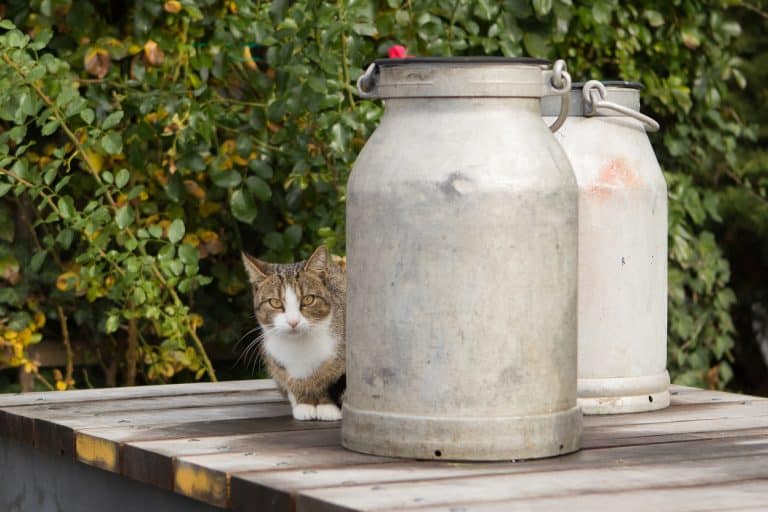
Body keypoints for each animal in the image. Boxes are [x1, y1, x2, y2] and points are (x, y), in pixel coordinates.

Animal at [242, 247, 346, 420]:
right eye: (275, 302)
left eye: (308, 299)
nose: (293, 321)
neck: (299, 346)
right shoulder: (276, 362)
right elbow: (291, 383)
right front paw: (303, 402)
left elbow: (330, 380)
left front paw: (327, 405)